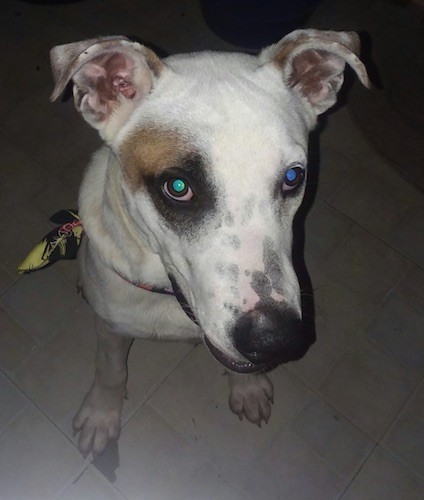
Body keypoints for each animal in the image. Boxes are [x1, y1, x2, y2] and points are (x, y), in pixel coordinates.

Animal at [48, 28, 368, 458]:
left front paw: (247, 389)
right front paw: (101, 416)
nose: (273, 340)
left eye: (292, 177)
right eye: (178, 187)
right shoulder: (111, 329)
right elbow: (110, 370)